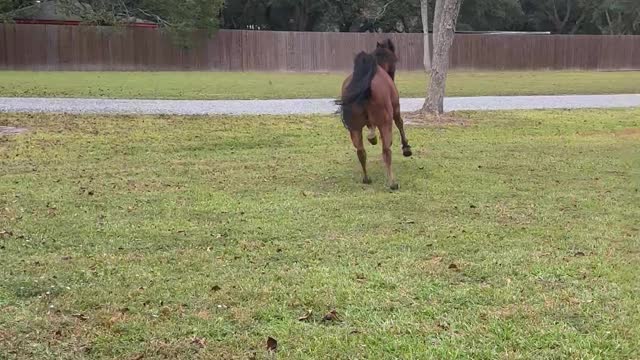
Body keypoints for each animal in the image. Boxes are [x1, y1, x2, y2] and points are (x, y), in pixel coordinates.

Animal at [338, 40, 412, 190]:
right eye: (395, 59)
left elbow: (370, 127)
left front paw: (372, 137)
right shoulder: (395, 110)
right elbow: (400, 124)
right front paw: (406, 148)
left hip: (354, 128)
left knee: (361, 152)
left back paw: (366, 178)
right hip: (385, 122)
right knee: (386, 151)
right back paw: (392, 183)